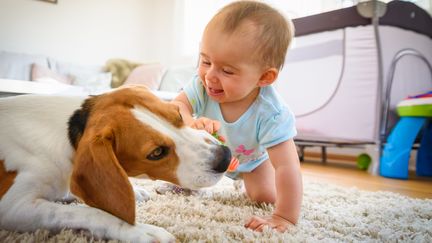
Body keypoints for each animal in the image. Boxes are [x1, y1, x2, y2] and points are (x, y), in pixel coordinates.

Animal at [0, 86, 231, 242]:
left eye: (179, 114)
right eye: (156, 153)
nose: (225, 157)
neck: (65, 135)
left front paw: (134, 192)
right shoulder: (13, 207)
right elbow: (85, 212)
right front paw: (137, 230)